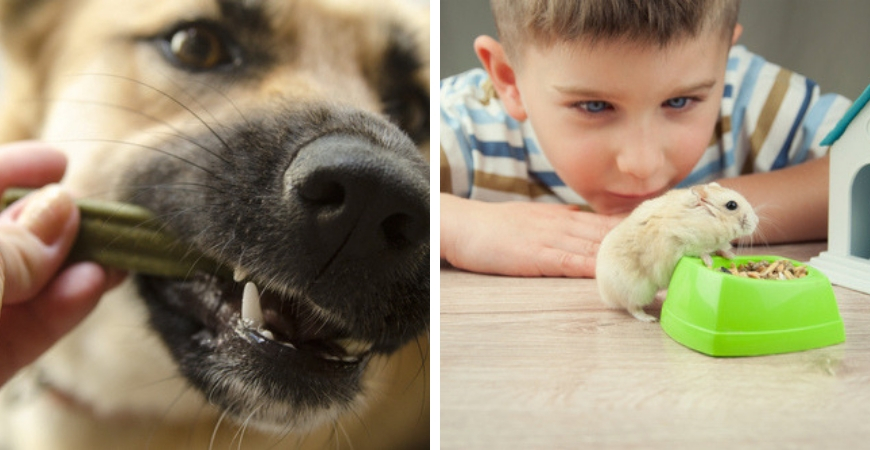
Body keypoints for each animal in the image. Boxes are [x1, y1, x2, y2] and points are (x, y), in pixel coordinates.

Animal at [596, 184, 760, 324]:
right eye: (732, 205)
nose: (757, 221)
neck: (705, 218)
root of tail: (605, 295)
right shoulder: (682, 240)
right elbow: (701, 251)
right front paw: (709, 261)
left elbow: (719, 249)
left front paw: (730, 255)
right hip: (637, 290)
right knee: (632, 307)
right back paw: (650, 318)